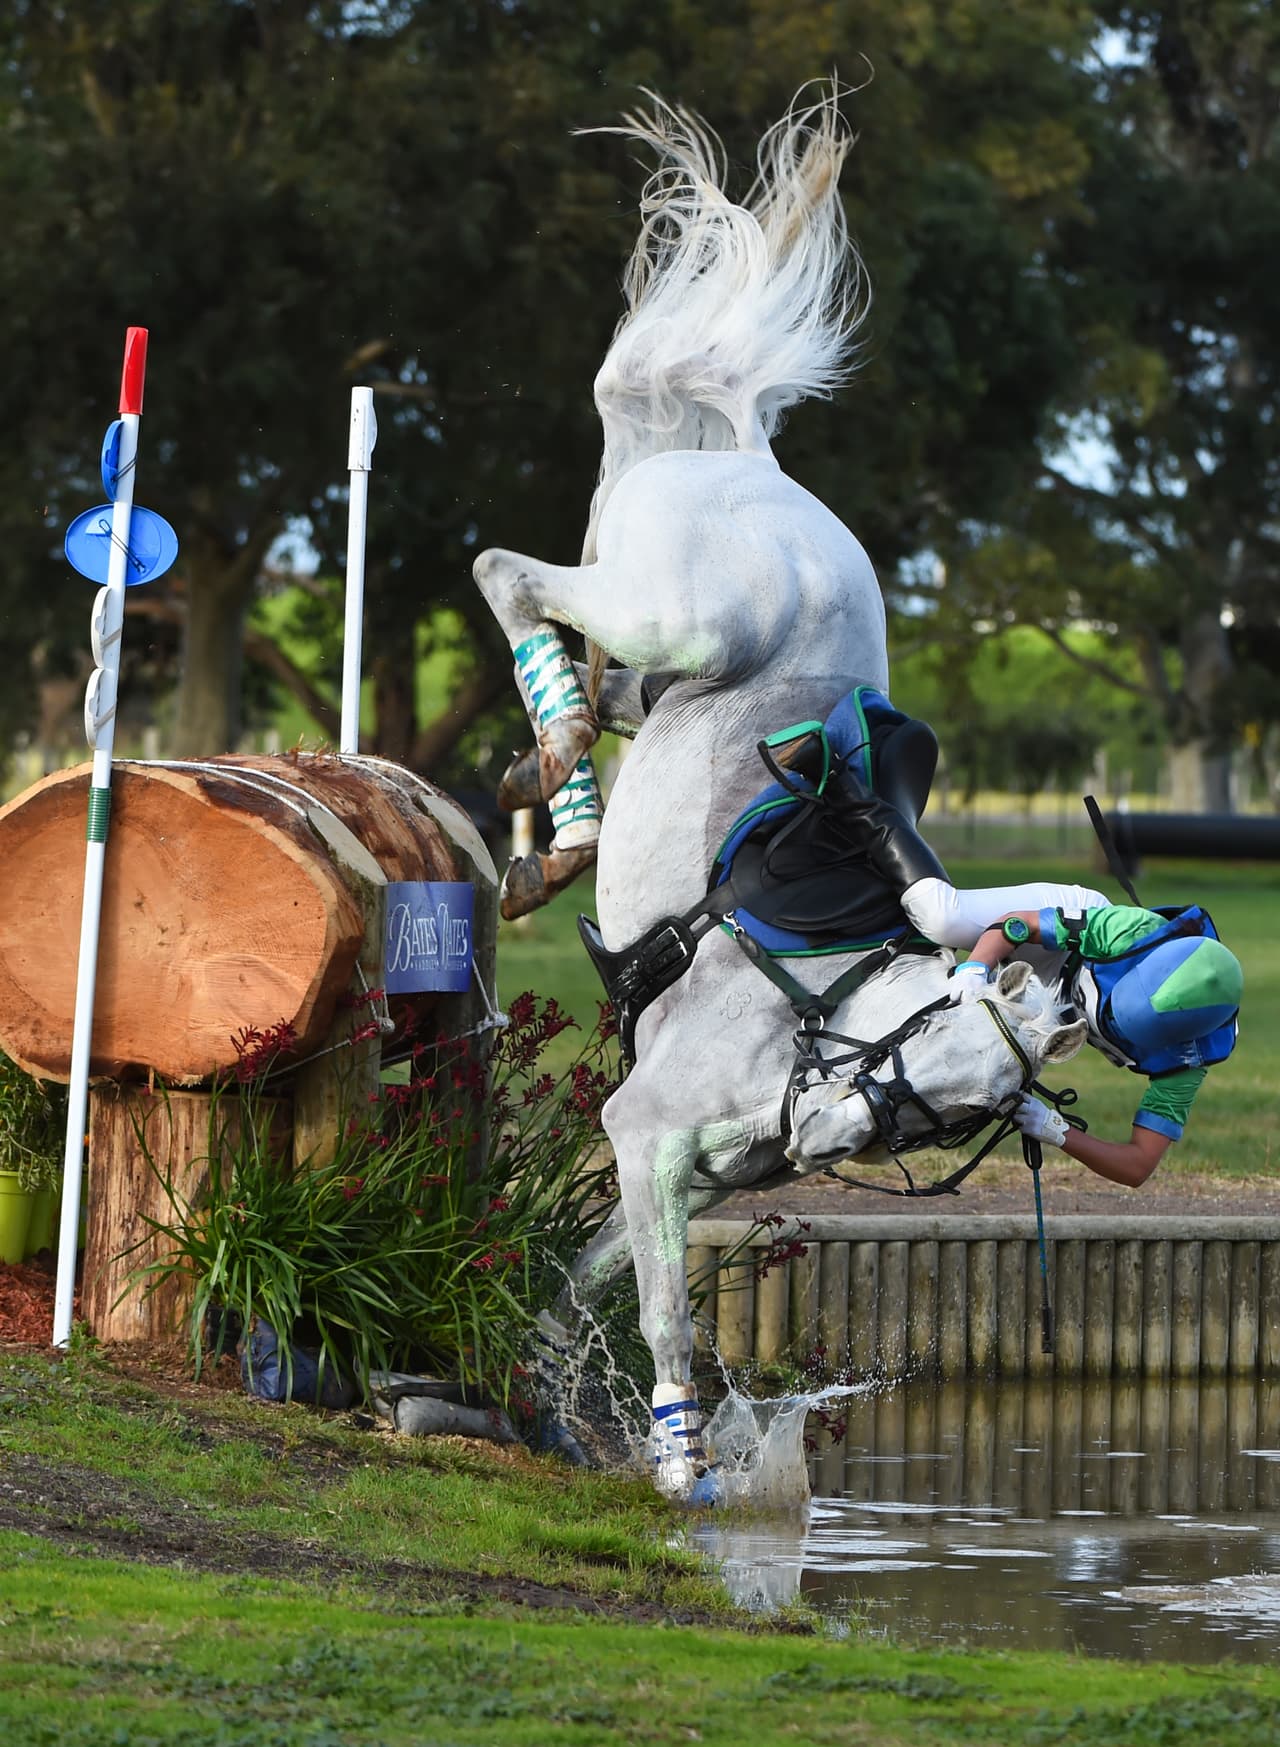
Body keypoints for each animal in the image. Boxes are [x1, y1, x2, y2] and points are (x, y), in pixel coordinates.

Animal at [473, 87, 1085, 1502]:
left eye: (966, 1112)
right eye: (947, 1032)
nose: (828, 1142)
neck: (817, 1015)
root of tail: (761, 463)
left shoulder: (683, 1171)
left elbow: (579, 1285)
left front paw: (551, 1402)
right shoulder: (643, 1124)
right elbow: (657, 1316)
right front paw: (679, 1466)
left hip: (667, 656)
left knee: (603, 669)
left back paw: (564, 799)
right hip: (689, 607)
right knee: (510, 572)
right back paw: (557, 764)